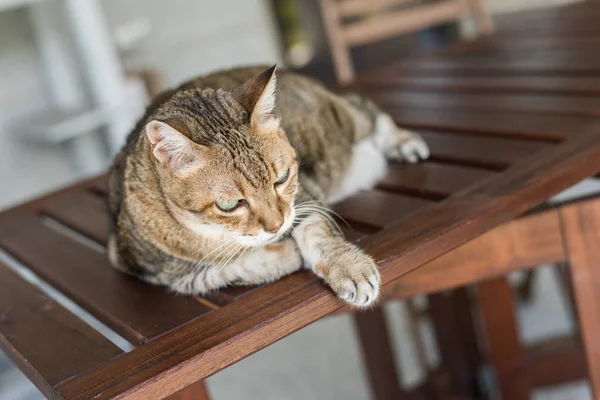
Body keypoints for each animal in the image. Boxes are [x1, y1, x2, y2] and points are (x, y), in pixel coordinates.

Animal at [108, 65, 426, 306]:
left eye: (281, 178)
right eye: (229, 204)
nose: (276, 226)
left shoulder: (304, 198)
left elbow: (316, 231)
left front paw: (347, 265)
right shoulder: (161, 272)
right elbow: (223, 270)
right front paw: (286, 254)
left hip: (344, 118)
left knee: (367, 109)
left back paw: (403, 141)